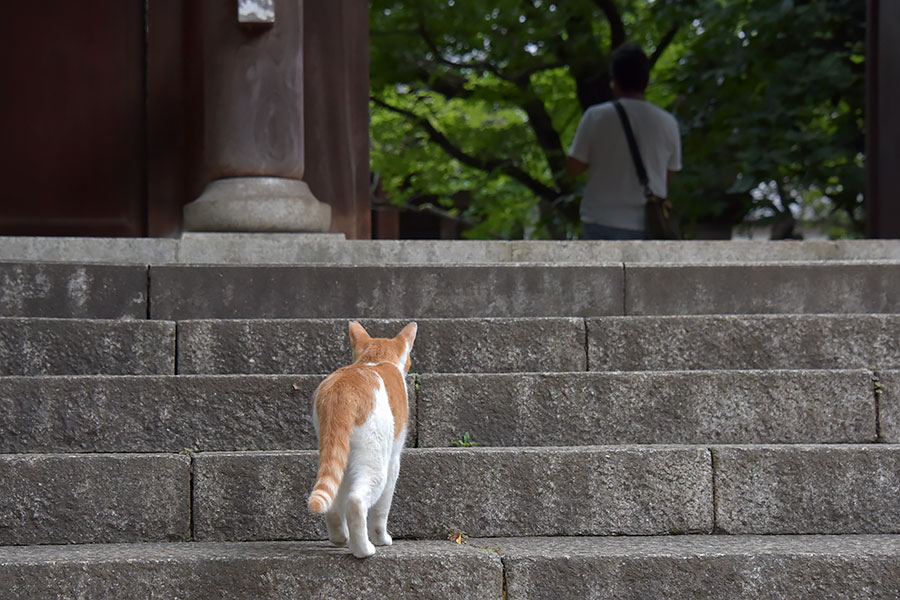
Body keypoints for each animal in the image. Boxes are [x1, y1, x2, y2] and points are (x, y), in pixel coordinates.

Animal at [308, 322, 416, 560]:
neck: (376, 360)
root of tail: (342, 389)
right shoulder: (393, 461)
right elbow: (382, 509)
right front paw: (382, 539)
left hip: (337, 451)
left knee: (334, 498)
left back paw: (340, 538)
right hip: (375, 459)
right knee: (356, 501)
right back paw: (364, 549)